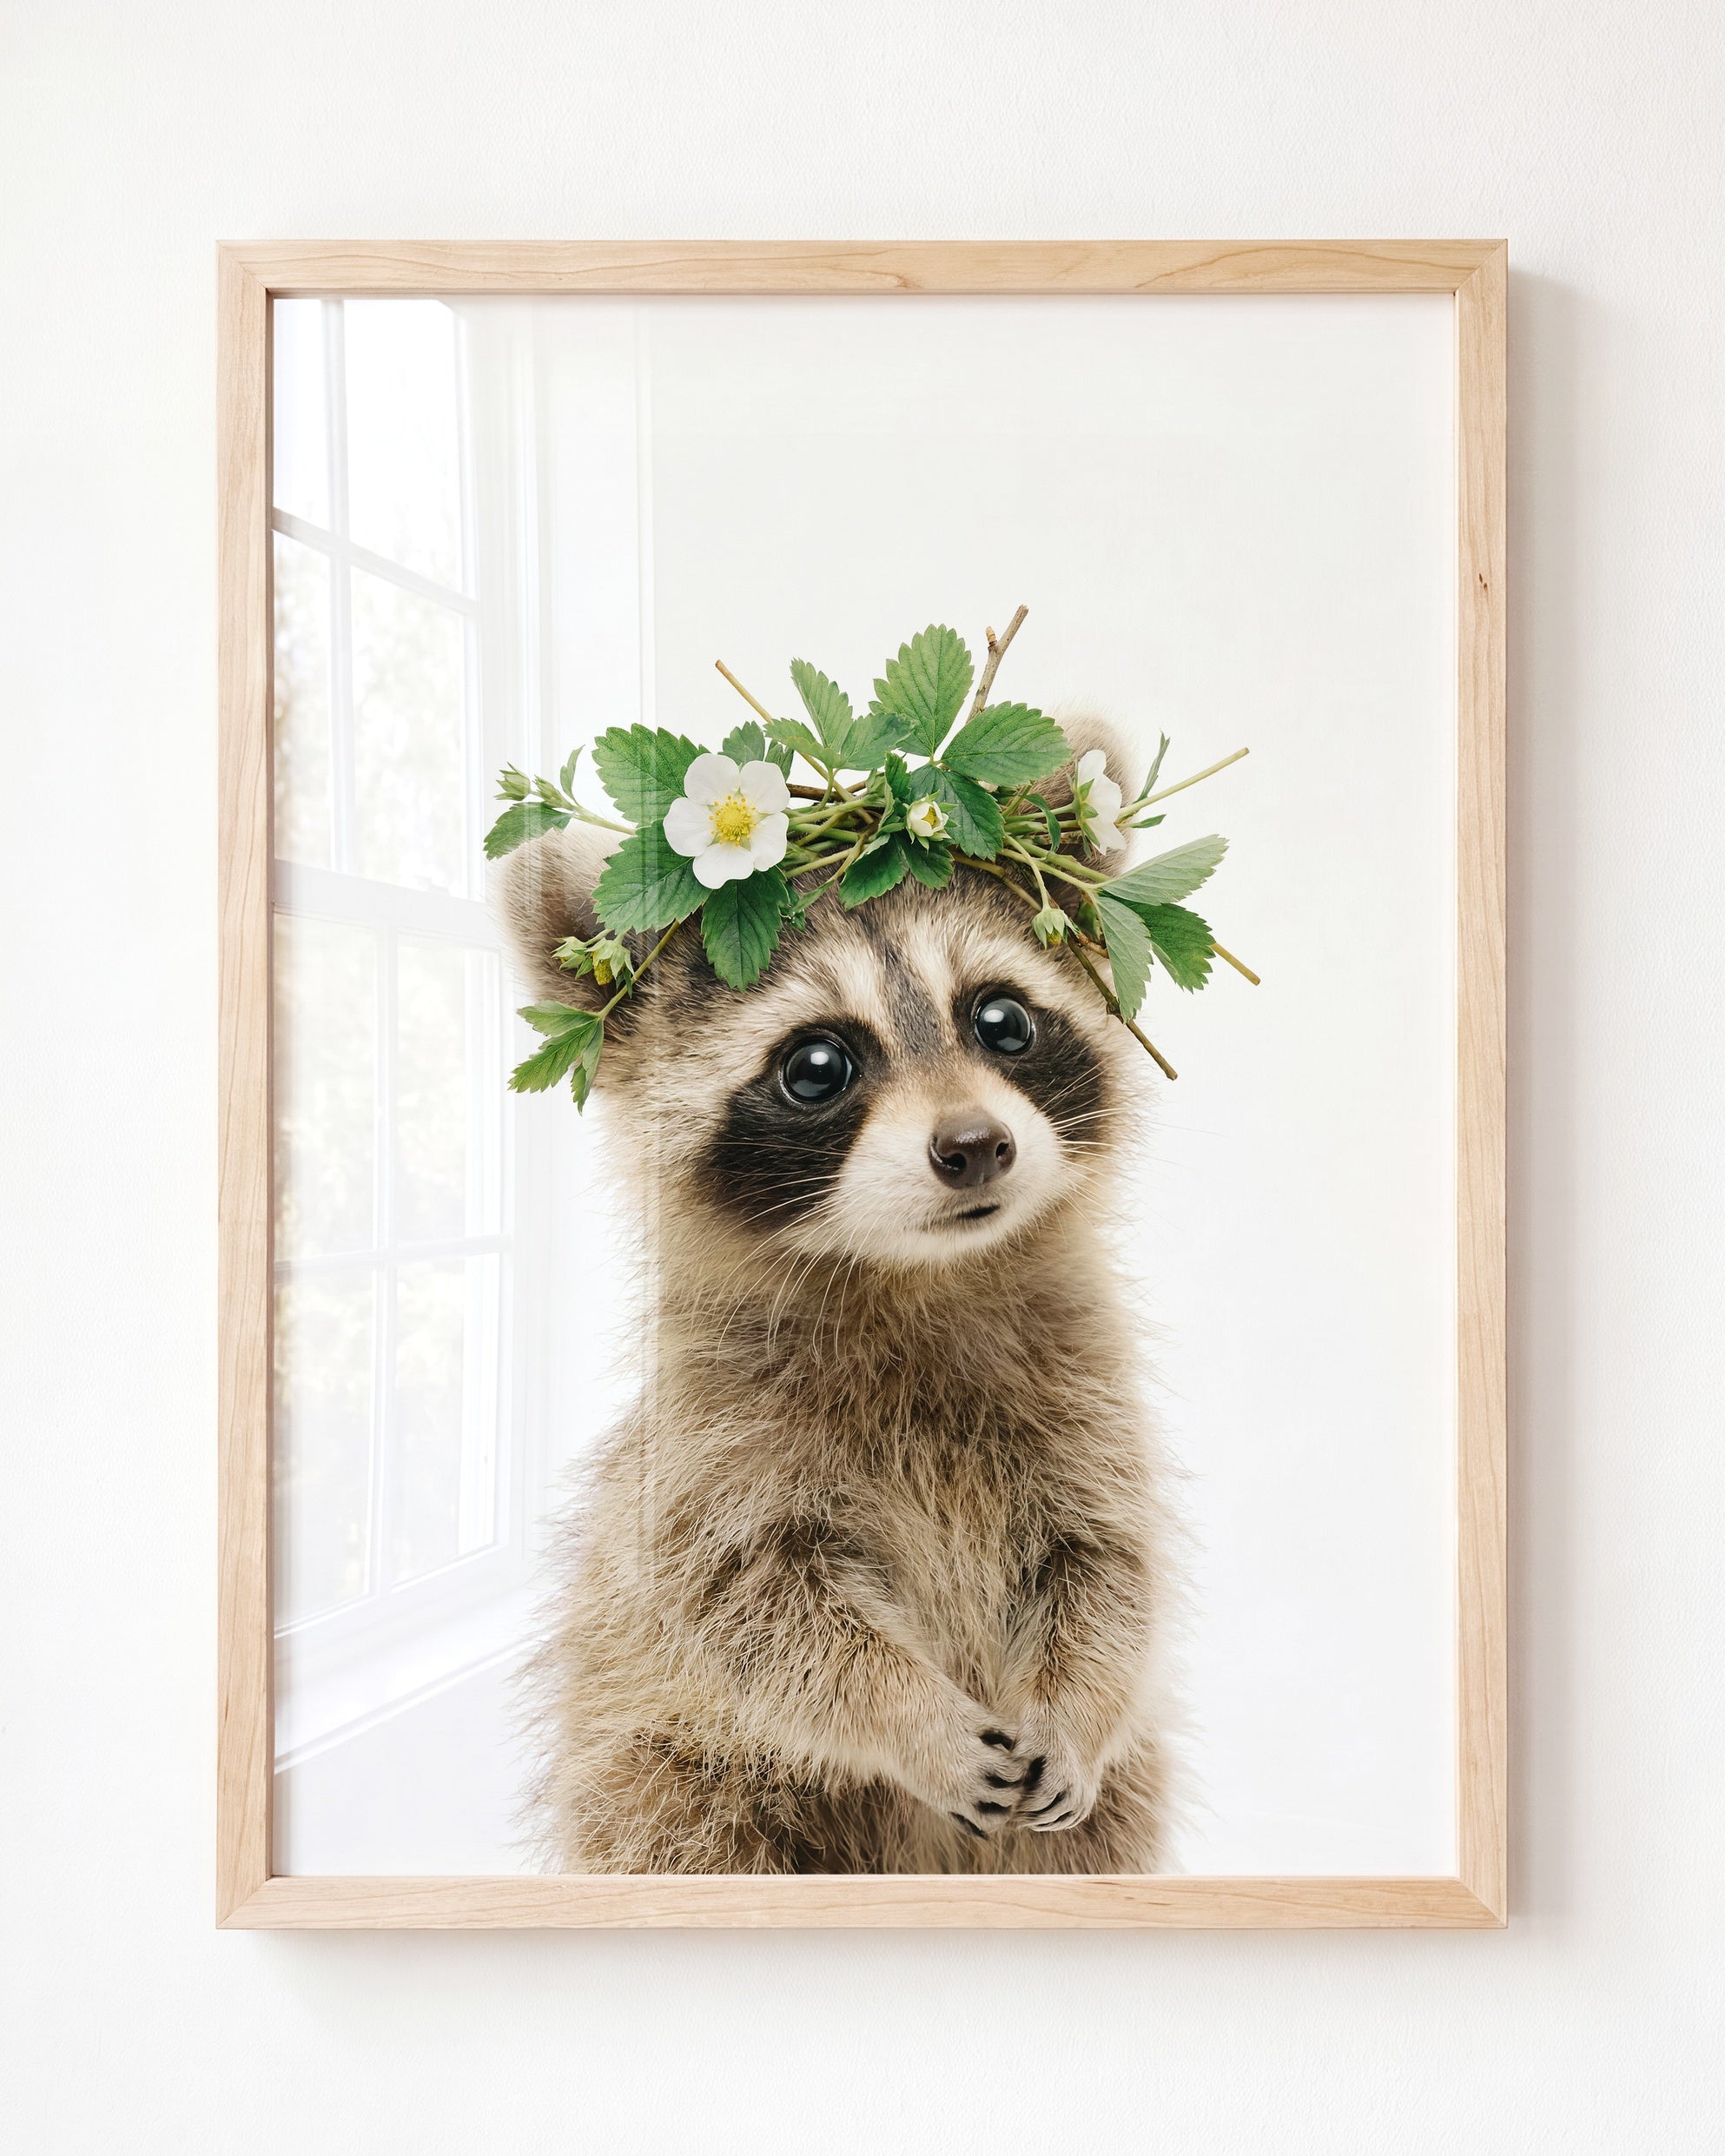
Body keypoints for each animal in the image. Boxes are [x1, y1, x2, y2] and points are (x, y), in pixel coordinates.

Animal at [496, 722, 1182, 1874]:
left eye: (1002, 1019)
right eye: (818, 1065)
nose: (975, 1145)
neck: (917, 1276)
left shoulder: (1089, 1400)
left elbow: (1109, 1570)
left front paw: (1079, 1705)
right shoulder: (709, 1451)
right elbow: (756, 1615)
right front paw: (911, 1717)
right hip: (666, 1773)